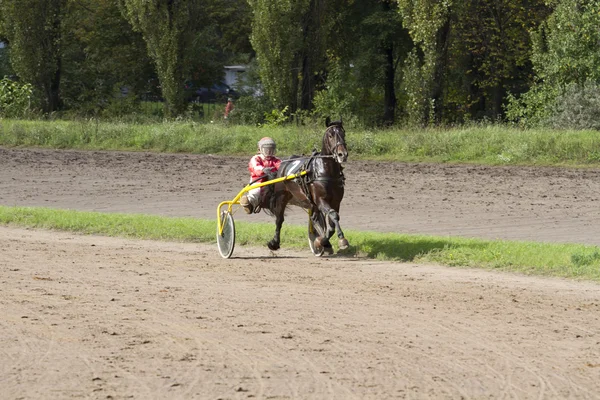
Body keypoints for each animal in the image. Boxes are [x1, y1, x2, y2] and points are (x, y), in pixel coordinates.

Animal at [260, 119, 350, 256]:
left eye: (343, 133)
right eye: (330, 135)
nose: (342, 154)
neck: (326, 171)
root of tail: (283, 163)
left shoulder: (335, 202)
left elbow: (332, 224)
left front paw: (322, 242)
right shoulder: (320, 200)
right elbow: (334, 216)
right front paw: (340, 240)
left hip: (310, 202)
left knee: (314, 218)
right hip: (282, 196)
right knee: (279, 219)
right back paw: (274, 243)